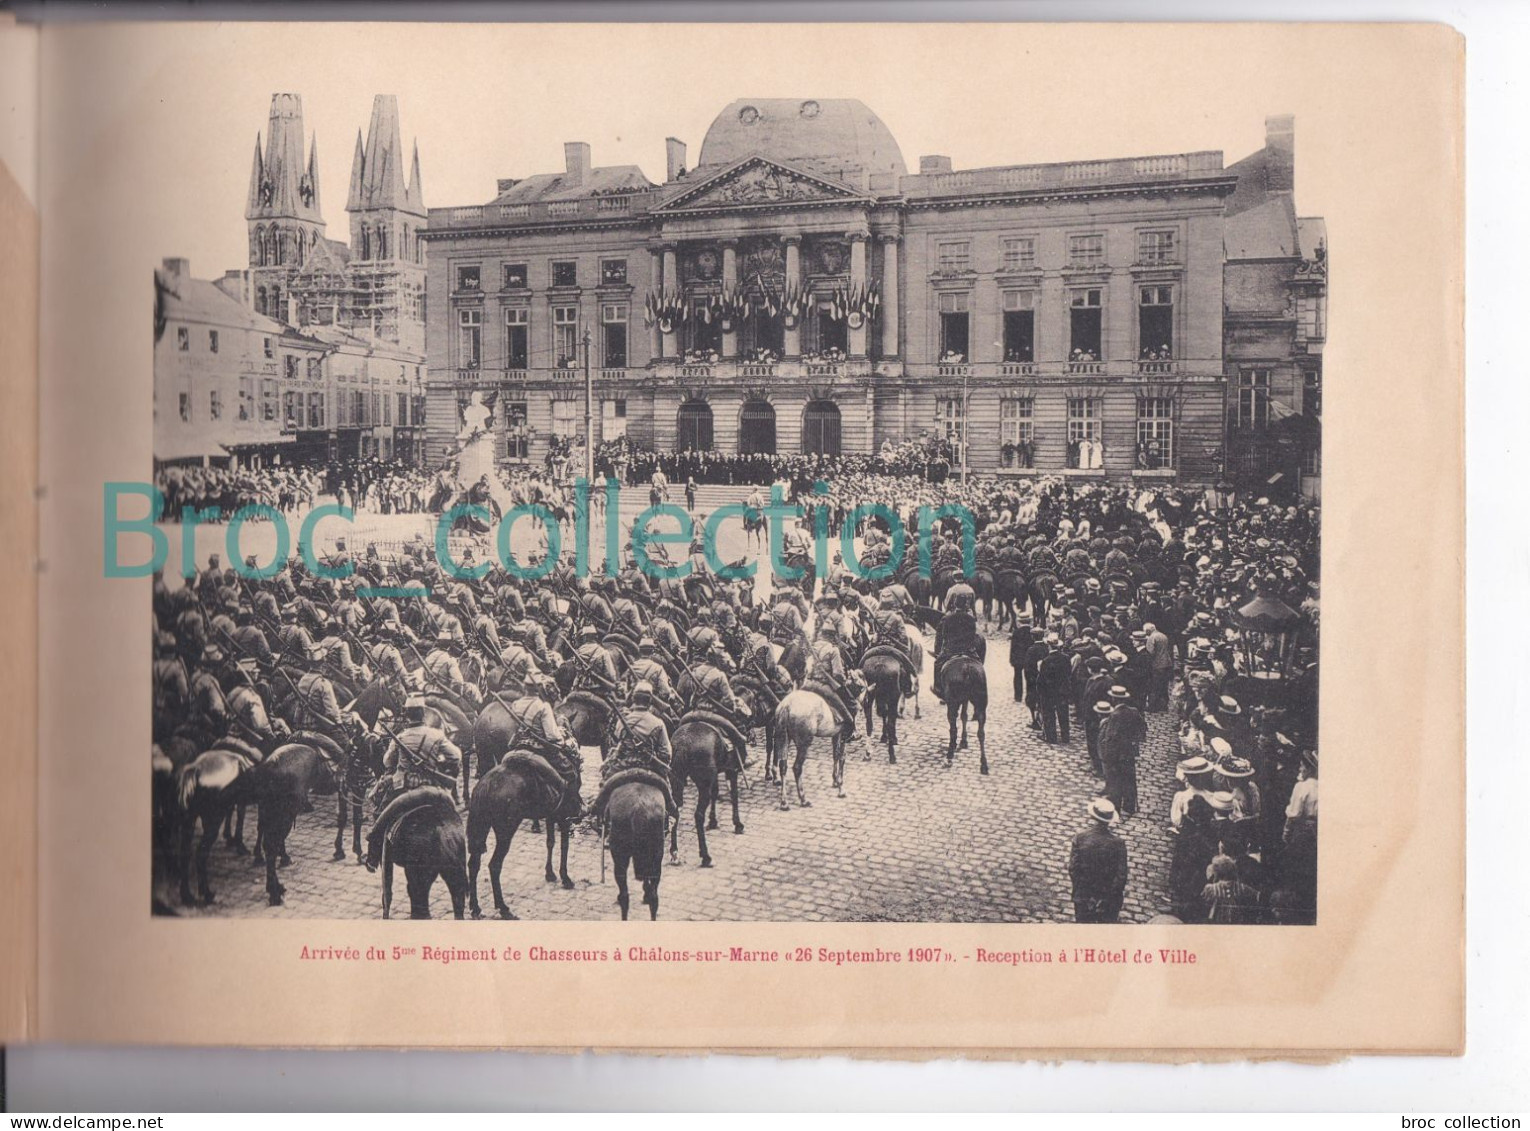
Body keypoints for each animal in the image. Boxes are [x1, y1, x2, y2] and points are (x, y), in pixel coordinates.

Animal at [367, 789, 468, 918]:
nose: (369, 864)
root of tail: (441, 829)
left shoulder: (386, 858)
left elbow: (388, 891)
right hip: (450, 873)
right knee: (456, 900)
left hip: (417, 873)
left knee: (418, 893)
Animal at [459, 752, 578, 918]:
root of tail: (486, 784)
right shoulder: (563, 818)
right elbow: (564, 846)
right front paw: (565, 878)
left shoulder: (551, 815)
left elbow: (550, 842)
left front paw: (550, 873)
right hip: (506, 832)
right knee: (494, 865)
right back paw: (503, 908)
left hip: (482, 828)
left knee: (473, 864)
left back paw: (475, 908)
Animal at [602, 783, 664, 924]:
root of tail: (639, 808)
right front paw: (646, 893)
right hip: (657, 857)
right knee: (655, 898)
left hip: (620, 856)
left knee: (624, 896)